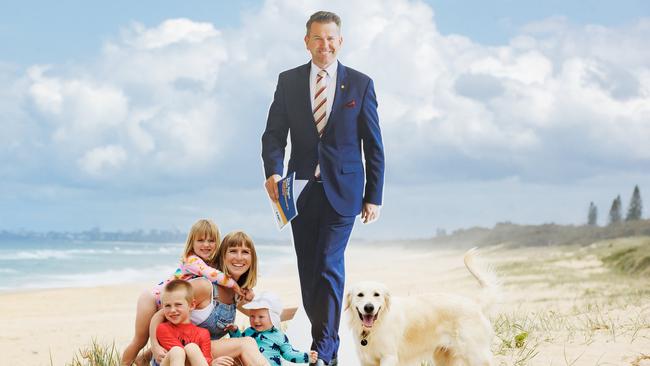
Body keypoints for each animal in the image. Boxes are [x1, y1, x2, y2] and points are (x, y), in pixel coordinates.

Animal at [344, 247, 496, 364]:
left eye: (377, 294)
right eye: (360, 295)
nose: (369, 308)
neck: (376, 326)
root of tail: (475, 304)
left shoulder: (389, 357)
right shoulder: (366, 361)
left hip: (476, 355)